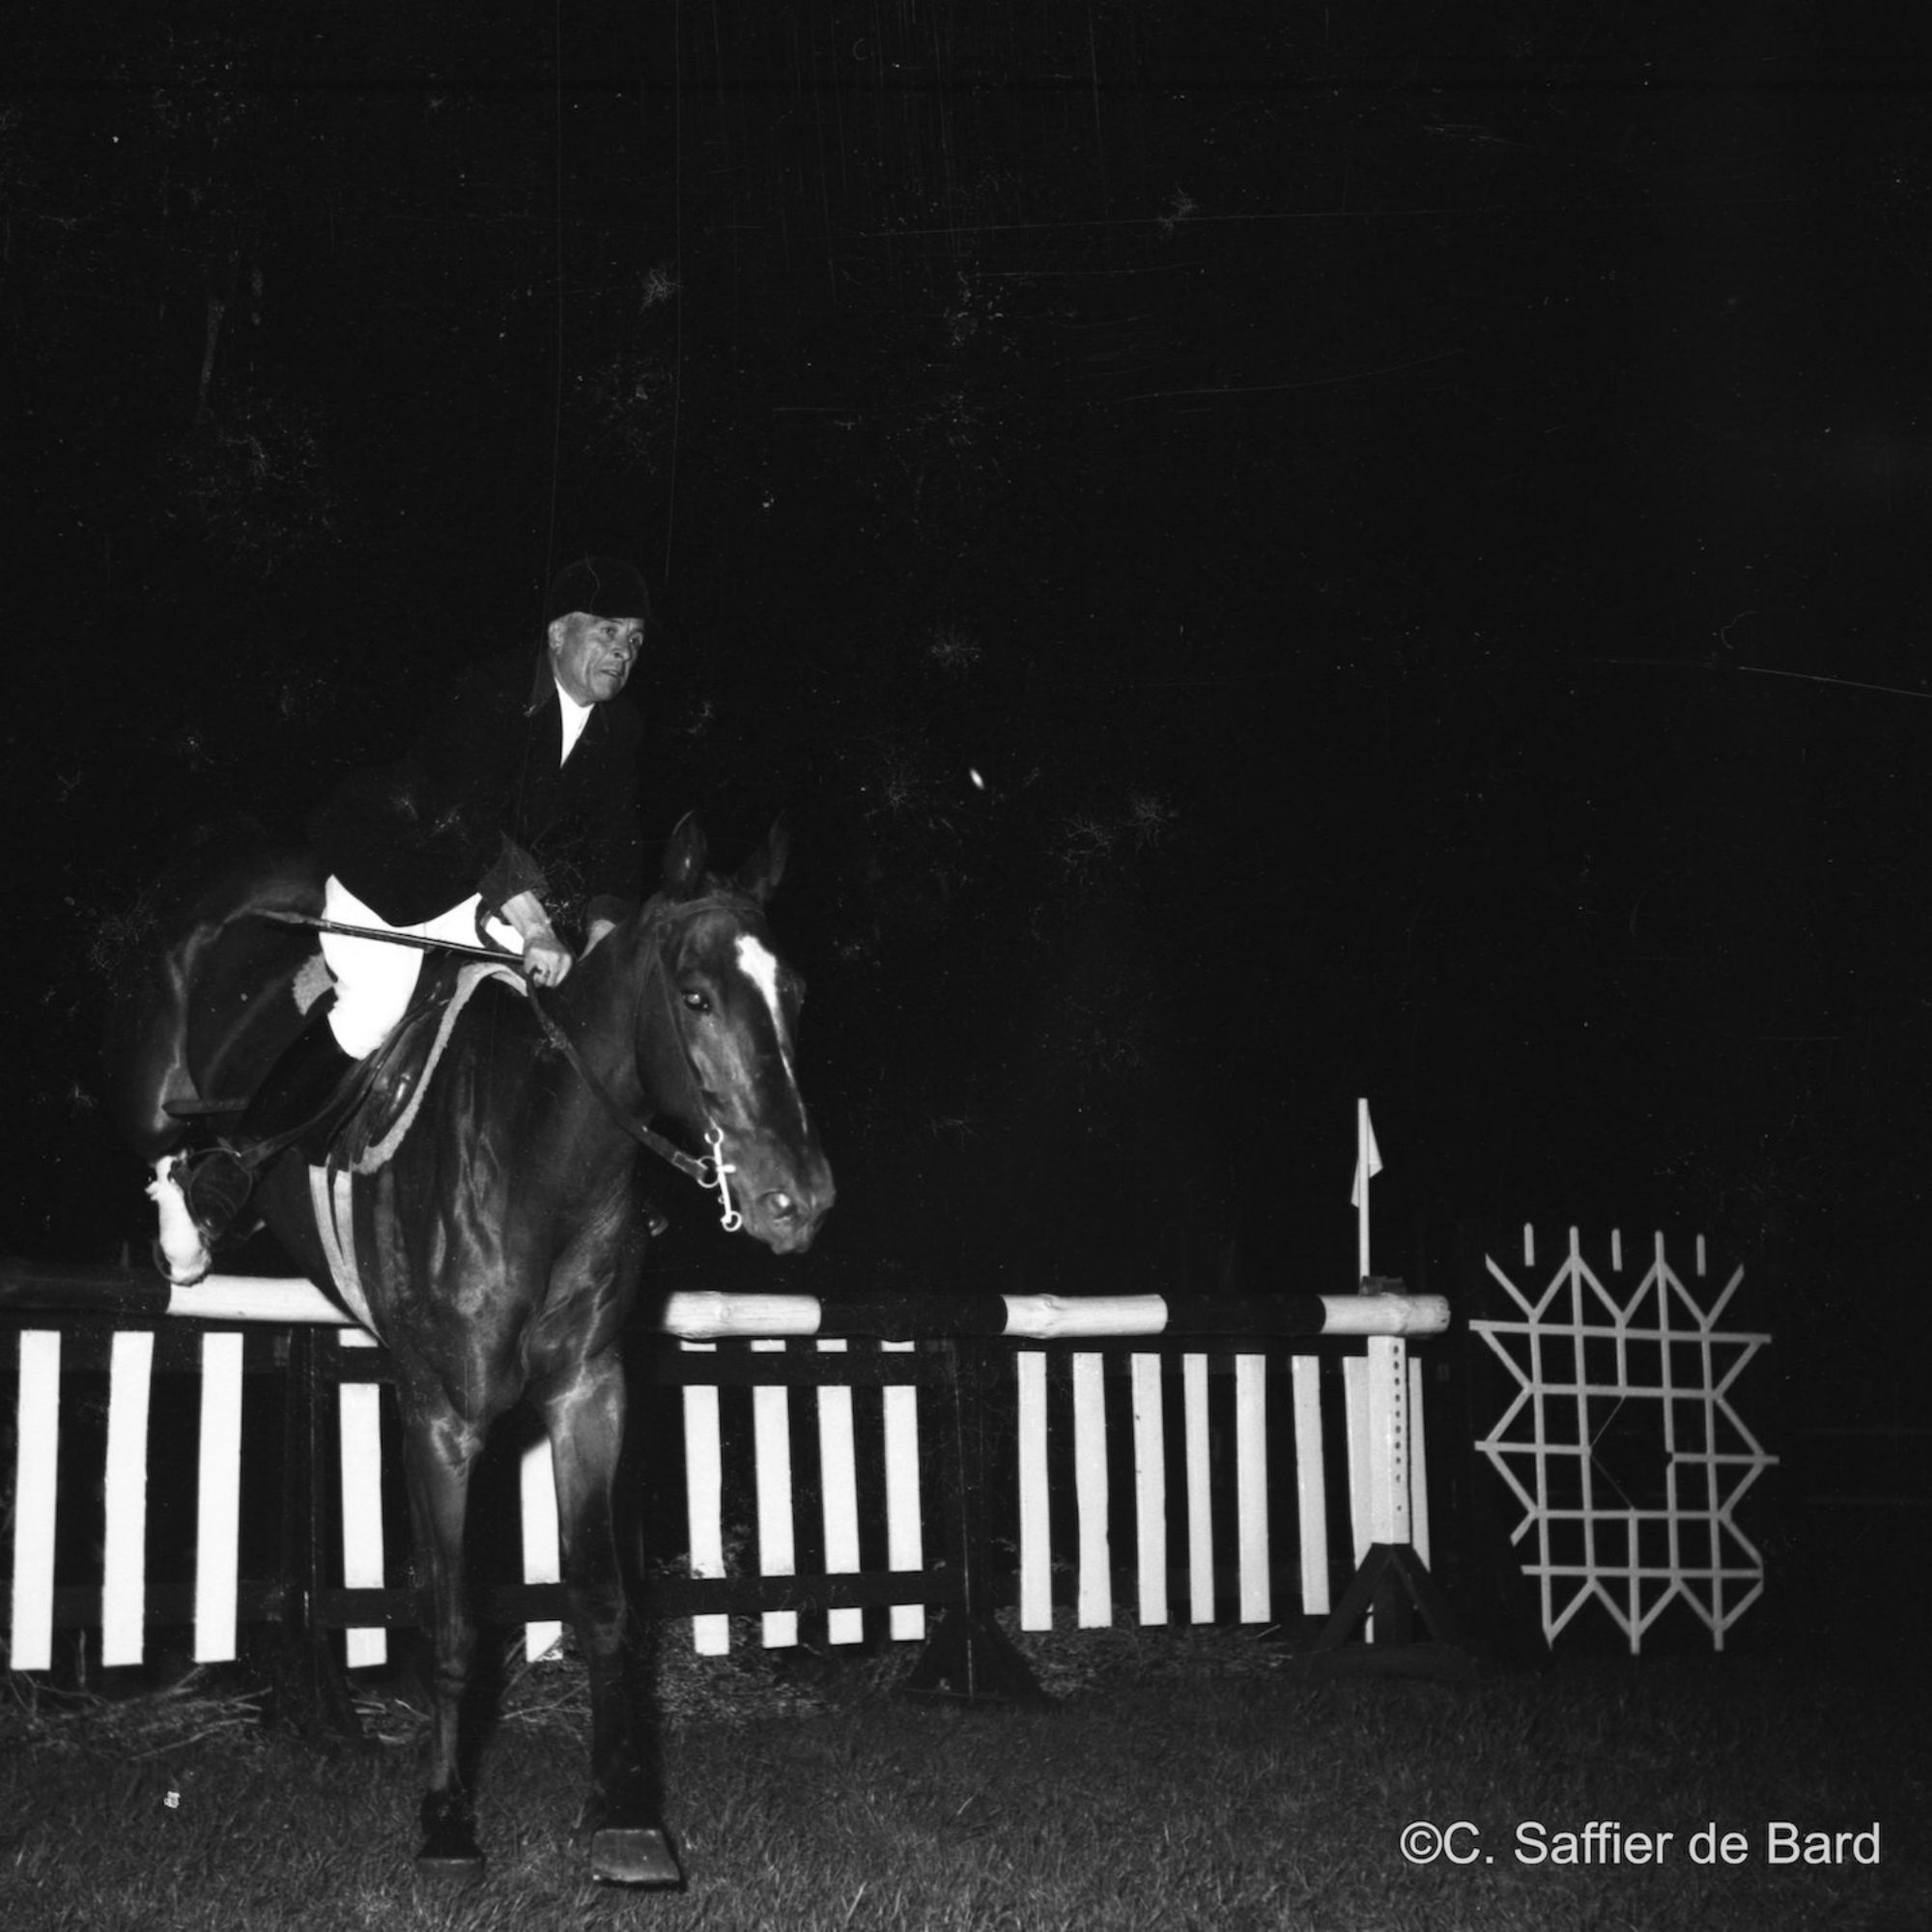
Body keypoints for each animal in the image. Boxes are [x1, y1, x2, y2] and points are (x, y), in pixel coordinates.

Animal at [107, 814, 833, 1885]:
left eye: (793, 997)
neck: (544, 1158)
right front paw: (447, 1819)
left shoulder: (590, 1394)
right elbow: (451, 1617)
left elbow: (604, 1603)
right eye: (696, 997)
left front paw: (622, 1815)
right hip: (157, 1077)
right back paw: (191, 1224)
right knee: (164, 1136)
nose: (798, 1200)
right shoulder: (441, 1420)